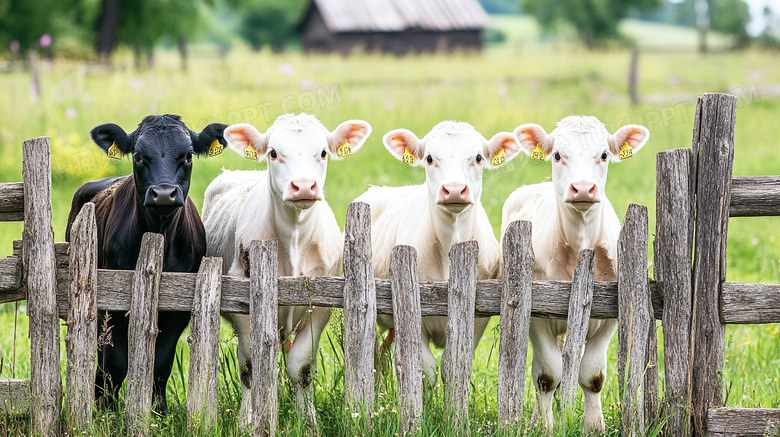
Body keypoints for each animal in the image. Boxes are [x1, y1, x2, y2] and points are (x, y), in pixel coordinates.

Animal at [66, 113, 227, 412]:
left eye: (188, 156)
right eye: (139, 156)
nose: (163, 193)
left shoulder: (179, 310)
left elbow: (160, 362)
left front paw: (158, 411)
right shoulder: (110, 302)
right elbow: (115, 362)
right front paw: (107, 409)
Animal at [201, 112, 372, 426]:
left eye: (323, 152)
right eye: (273, 153)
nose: (303, 186)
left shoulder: (320, 305)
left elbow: (301, 367)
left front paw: (308, 421)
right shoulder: (241, 304)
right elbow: (251, 365)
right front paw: (248, 420)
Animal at [356, 121, 520, 384]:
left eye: (478, 157)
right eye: (429, 158)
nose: (454, 190)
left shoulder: (478, 319)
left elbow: (453, 365)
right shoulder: (412, 310)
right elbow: (427, 370)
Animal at [502, 114, 648, 430]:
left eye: (603, 154)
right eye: (557, 155)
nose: (582, 188)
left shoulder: (609, 317)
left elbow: (592, 375)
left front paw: (593, 426)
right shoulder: (536, 315)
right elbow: (547, 375)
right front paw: (544, 427)